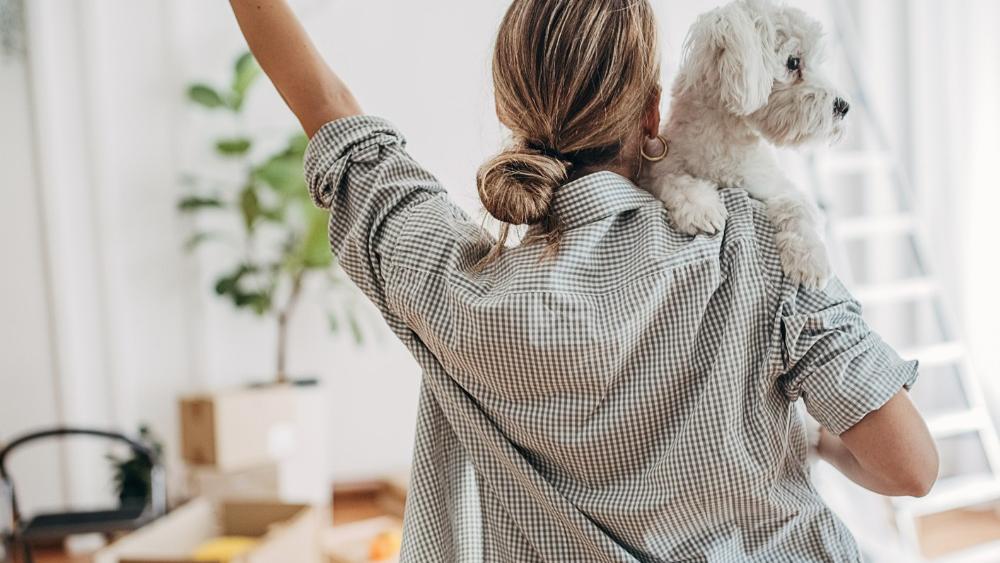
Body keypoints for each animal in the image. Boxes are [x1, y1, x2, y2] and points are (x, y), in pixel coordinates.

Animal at [644, 0, 848, 288]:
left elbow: (798, 206)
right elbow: (674, 179)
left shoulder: (773, 185)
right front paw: (700, 207)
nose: (844, 106)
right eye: (793, 62)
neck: (726, 147)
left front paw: (810, 260)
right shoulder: (659, 168)